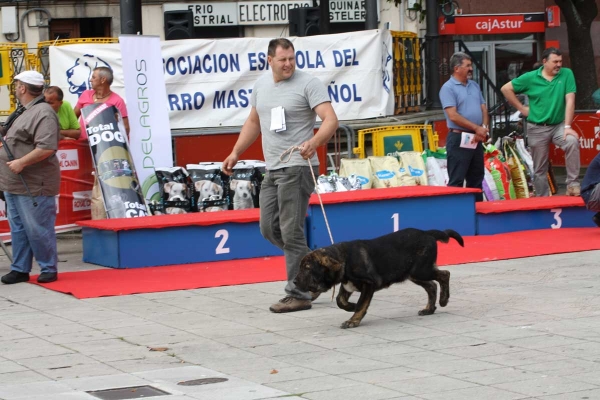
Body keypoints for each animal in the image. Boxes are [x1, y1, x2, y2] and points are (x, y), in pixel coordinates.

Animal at [292, 228, 462, 328]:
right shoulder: (347, 285)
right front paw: (351, 306)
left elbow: (361, 304)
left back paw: (443, 300)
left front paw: (353, 320)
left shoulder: (369, 284)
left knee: (445, 275)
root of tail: (427, 233)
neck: (344, 259)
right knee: (432, 285)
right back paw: (429, 309)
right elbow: (341, 300)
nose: (294, 281)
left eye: (307, 268)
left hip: (421, 270)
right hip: (412, 273)